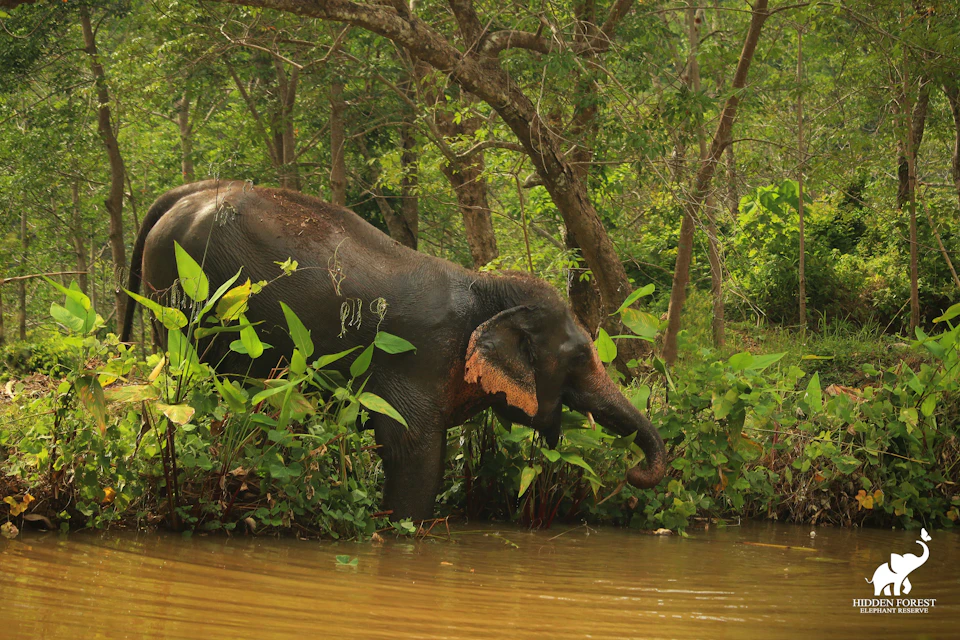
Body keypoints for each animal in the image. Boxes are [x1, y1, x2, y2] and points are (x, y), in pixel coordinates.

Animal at [120, 180, 666, 520]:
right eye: (577, 357)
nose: (633, 471)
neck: (485, 289)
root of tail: (183, 195)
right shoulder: (419, 361)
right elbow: (413, 453)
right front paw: (403, 528)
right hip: (186, 298)